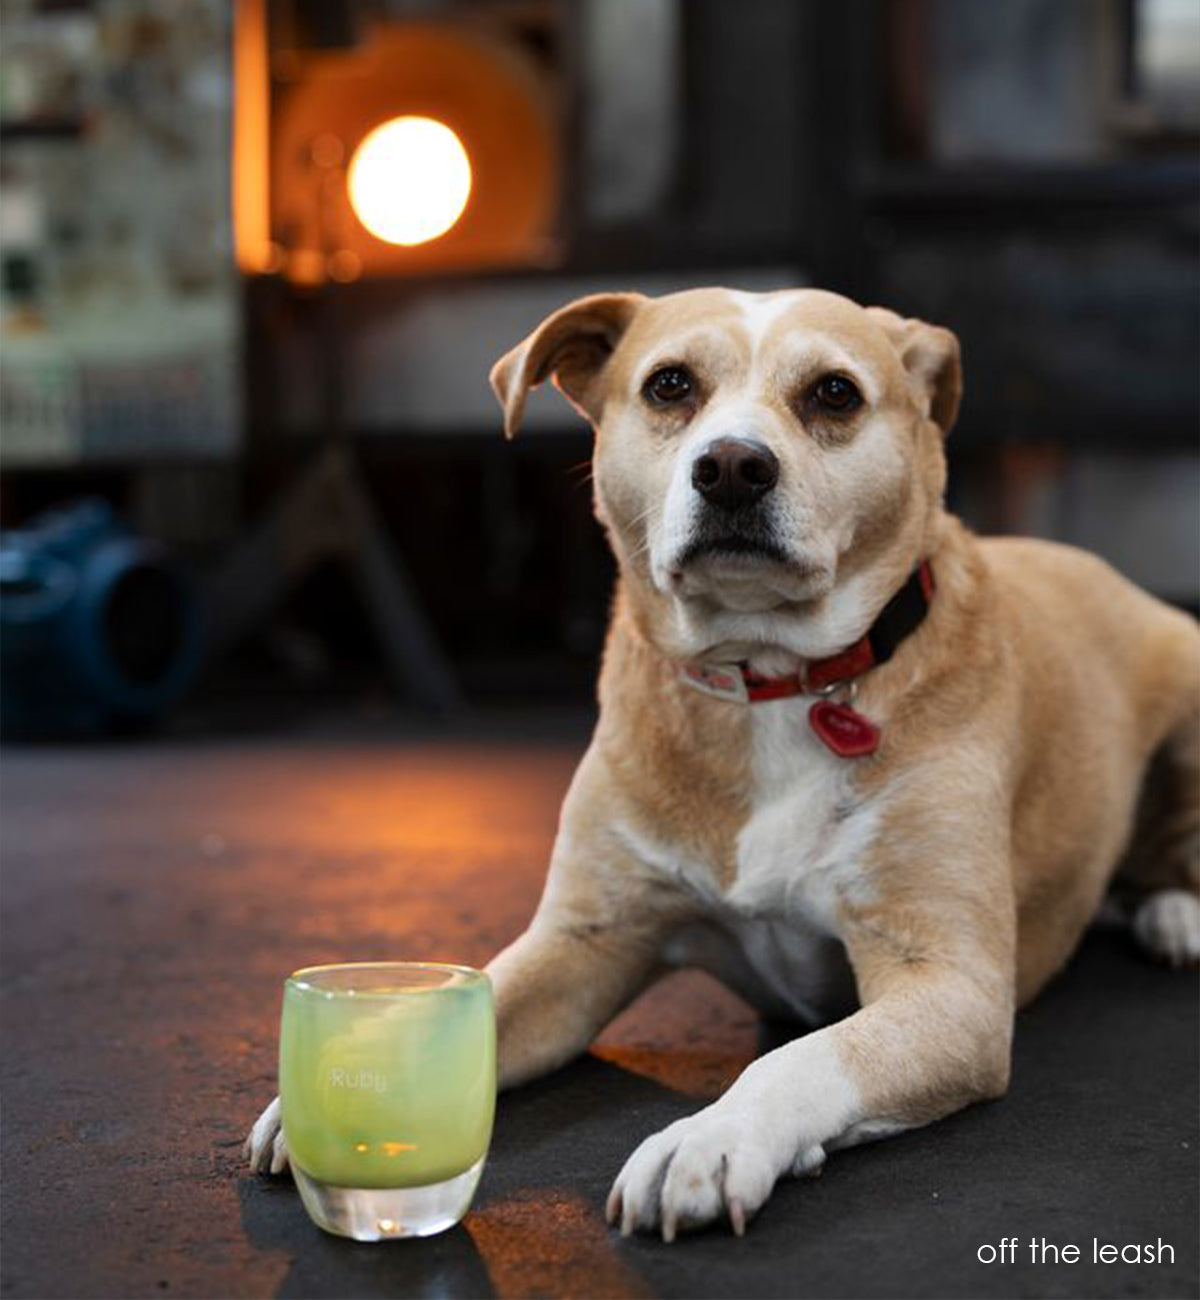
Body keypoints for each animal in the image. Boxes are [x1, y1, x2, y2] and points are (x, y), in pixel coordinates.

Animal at [245, 289, 1200, 1242]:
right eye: (670, 385)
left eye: (834, 393)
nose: (734, 466)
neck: (768, 680)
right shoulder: (581, 942)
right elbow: (489, 994)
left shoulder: (949, 985)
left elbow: (805, 1059)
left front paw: (712, 1138)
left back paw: (1176, 916)